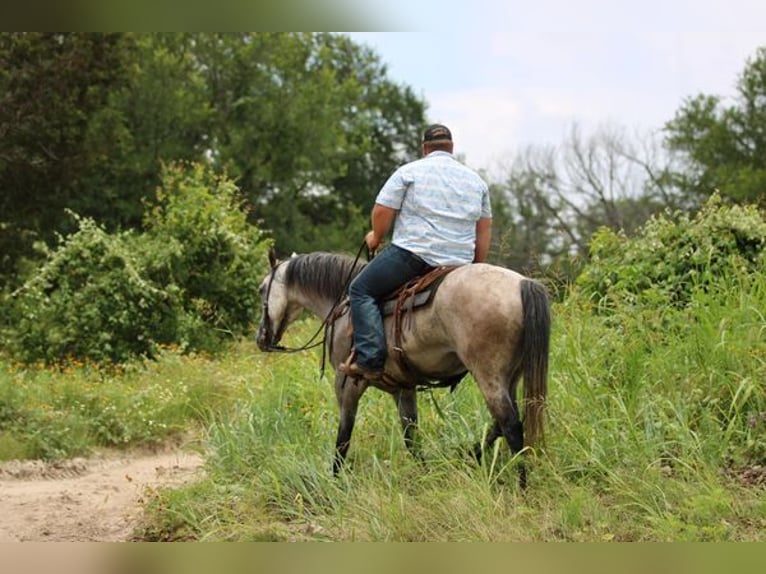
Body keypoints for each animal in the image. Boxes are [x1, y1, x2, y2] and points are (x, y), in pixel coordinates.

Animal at [258, 250, 552, 488]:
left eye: (262, 289)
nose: (261, 338)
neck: (342, 303)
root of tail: (522, 284)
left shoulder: (347, 383)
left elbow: (344, 436)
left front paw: (335, 481)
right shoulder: (403, 388)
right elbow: (411, 437)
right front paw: (426, 475)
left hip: (488, 374)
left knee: (510, 425)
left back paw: (521, 486)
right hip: (510, 376)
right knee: (501, 423)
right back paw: (471, 457)